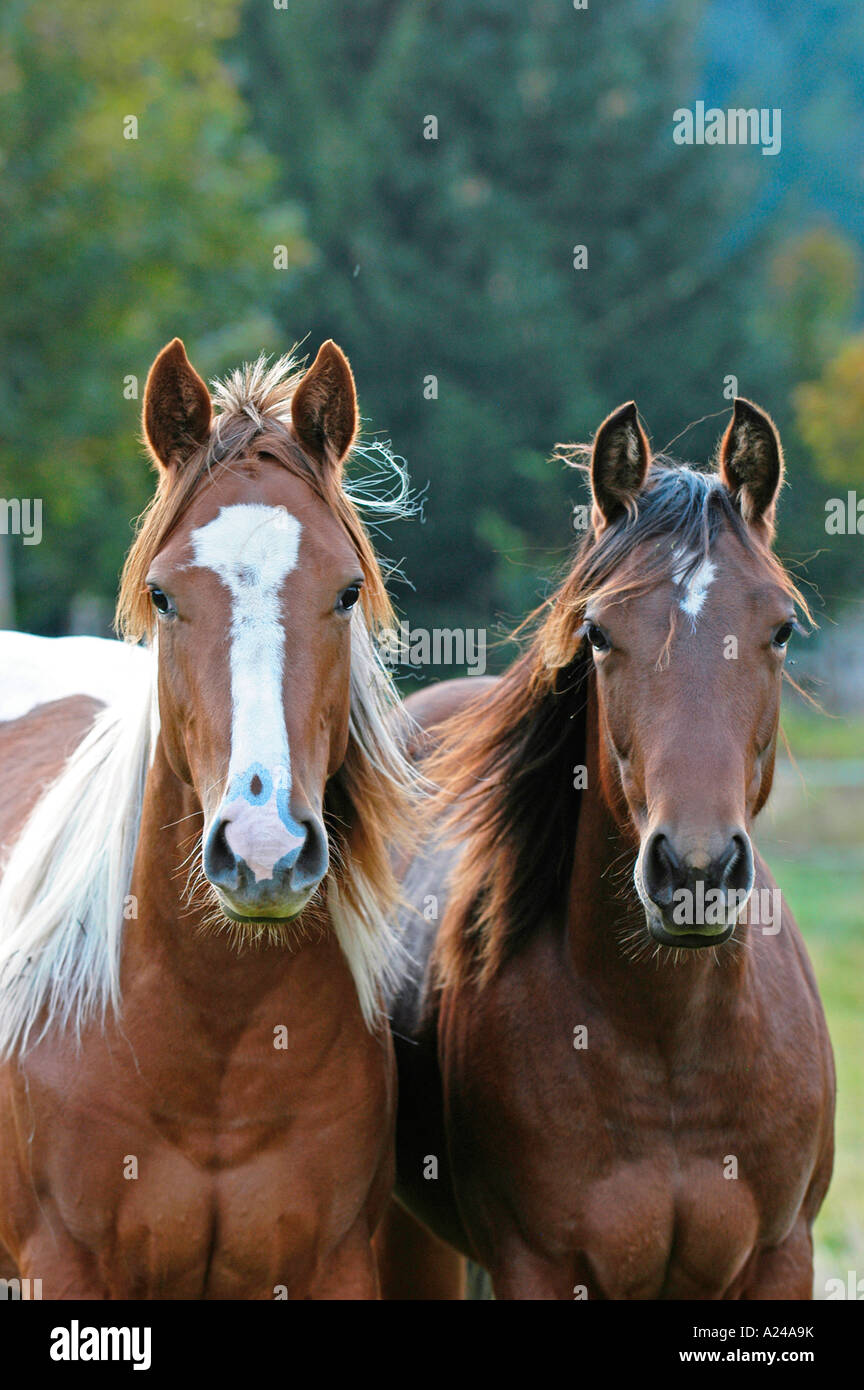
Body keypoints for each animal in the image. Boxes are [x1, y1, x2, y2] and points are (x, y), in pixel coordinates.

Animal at [378, 398, 835, 1300]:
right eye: (597, 632)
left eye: (780, 628)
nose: (695, 871)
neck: (671, 1044)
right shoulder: (539, 1266)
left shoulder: (781, 1257)